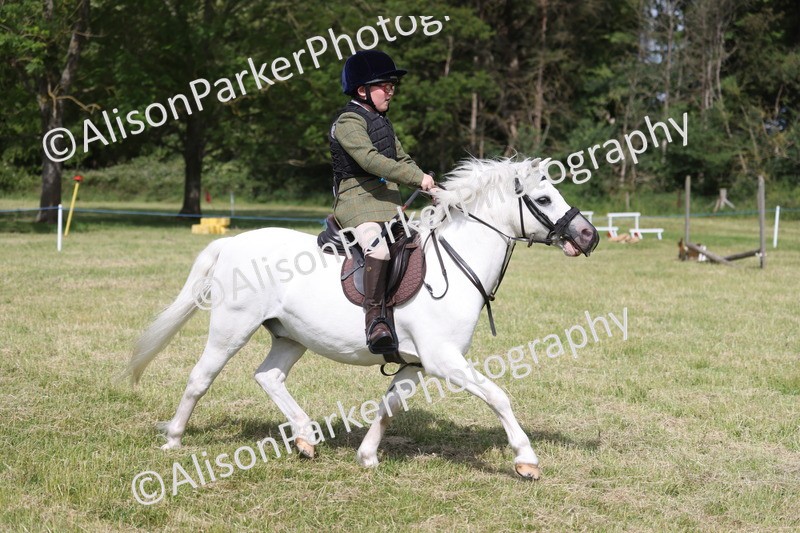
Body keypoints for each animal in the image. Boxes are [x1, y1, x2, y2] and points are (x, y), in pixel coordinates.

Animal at [126, 157, 599, 480]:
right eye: (543, 198)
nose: (588, 235)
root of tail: (231, 243)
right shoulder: (444, 360)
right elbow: (499, 396)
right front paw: (527, 460)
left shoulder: (415, 363)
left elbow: (389, 406)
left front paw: (367, 456)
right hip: (231, 329)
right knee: (200, 378)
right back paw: (173, 438)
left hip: (290, 336)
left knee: (269, 377)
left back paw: (305, 437)